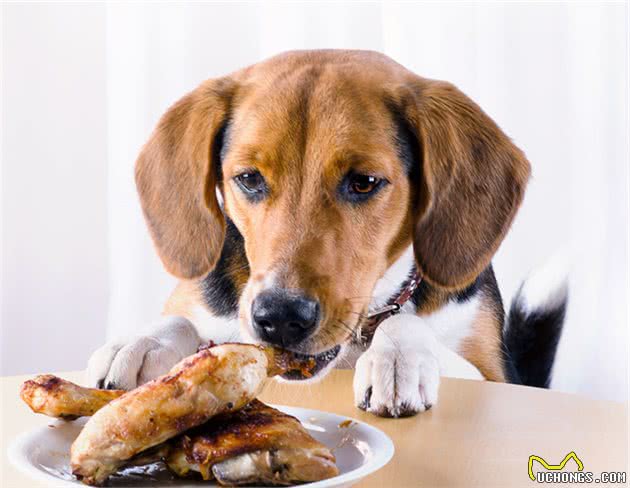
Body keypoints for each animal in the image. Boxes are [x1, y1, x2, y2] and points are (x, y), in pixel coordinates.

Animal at [87, 48, 568, 416]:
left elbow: (408, 325)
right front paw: (142, 341)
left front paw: (397, 356)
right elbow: (193, 326)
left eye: (364, 182)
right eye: (248, 179)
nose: (280, 317)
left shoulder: (496, 377)